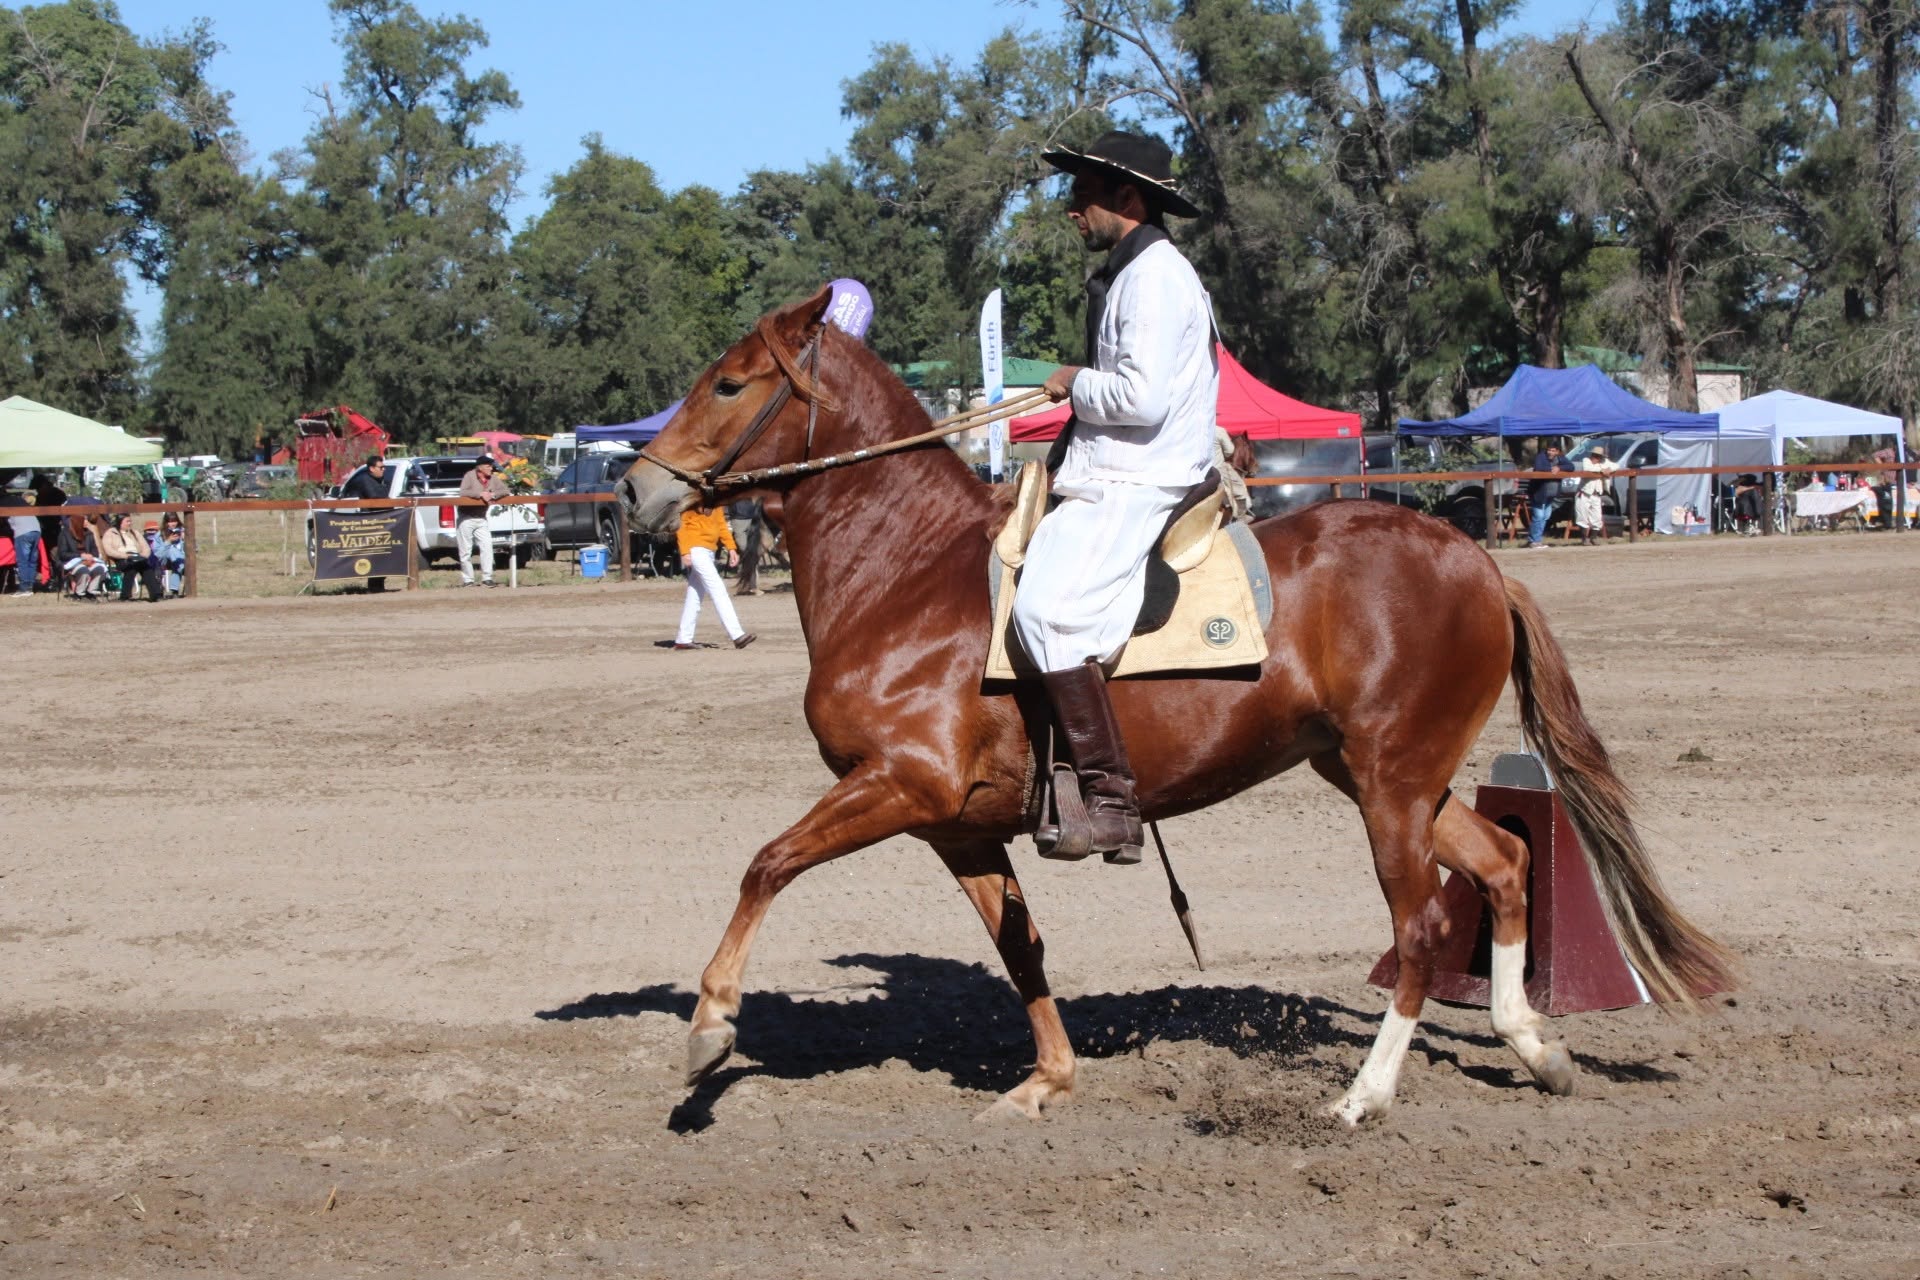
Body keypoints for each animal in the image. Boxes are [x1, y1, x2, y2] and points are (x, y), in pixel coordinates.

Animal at [619, 286, 1734, 1124]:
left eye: (729, 381)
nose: (635, 491)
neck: (905, 571)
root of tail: (1479, 561)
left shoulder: (898, 783)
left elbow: (766, 863)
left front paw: (710, 1028)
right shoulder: (954, 824)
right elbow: (1019, 943)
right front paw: (1048, 1079)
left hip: (1391, 785)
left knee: (1420, 923)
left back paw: (1364, 1096)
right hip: (1388, 775)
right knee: (1503, 865)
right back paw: (1534, 1046)